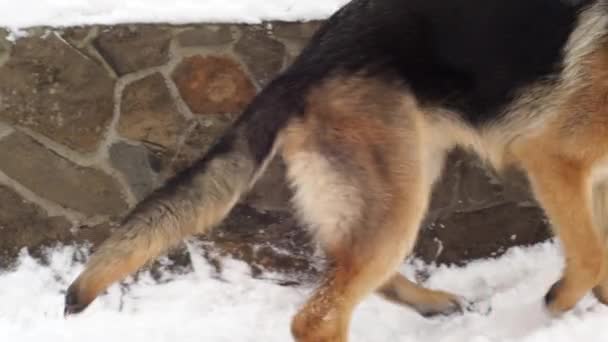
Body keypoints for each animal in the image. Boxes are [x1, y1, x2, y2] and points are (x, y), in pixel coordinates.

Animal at [63, 0, 608, 340]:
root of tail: (306, 62)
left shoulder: (592, 176)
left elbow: (598, 248)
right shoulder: (553, 156)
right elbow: (589, 254)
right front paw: (560, 302)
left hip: (402, 173)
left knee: (349, 272)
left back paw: (431, 302)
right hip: (398, 194)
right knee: (319, 317)